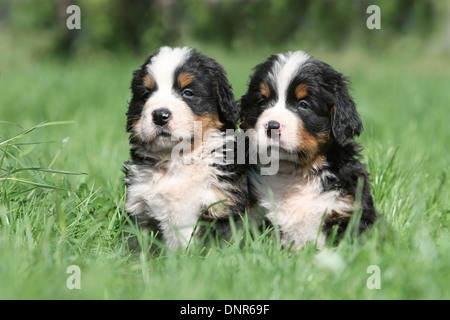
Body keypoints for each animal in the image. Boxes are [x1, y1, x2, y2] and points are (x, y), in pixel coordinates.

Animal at [125, 46, 248, 250]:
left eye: (188, 92)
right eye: (147, 93)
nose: (160, 115)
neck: (178, 158)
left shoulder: (221, 205)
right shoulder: (140, 208)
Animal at [241, 51, 374, 249]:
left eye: (303, 104)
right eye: (262, 102)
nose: (272, 125)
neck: (293, 173)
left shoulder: (348, 208)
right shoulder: (257, 212)